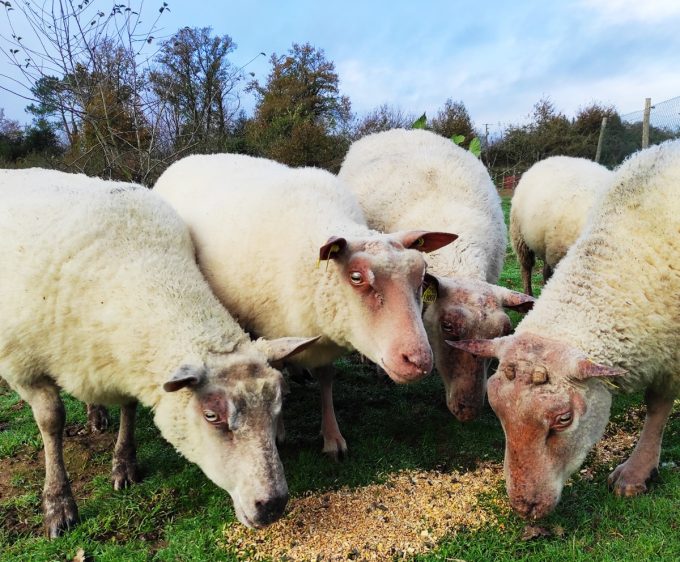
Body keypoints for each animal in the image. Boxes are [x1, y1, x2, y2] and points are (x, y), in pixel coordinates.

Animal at [0, 168, 318, 537]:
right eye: (211, 416)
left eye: (280, 405)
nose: (273, 505)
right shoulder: (23, 367)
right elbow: (51, 420)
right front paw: (58, 504)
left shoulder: (120, 362)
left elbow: (128, 407)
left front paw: (124, 464)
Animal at [154, 153, 457, 458]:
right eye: (356, 277)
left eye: (422, 275)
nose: (419, 361)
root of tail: (192, 157)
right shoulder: (274, 325)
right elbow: (275, 365)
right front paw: (279, 430)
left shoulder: (323, 338)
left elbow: (325, 378)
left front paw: (332, 436)